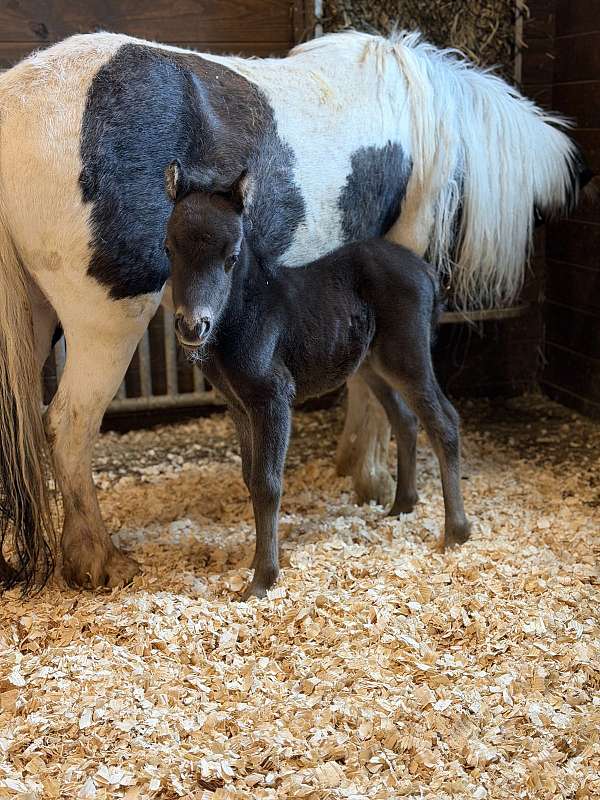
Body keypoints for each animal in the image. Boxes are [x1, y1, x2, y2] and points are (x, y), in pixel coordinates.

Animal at [165, 163, 470, 598]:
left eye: (231, 257)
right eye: (169, 250)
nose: (193, 325)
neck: (245, 314)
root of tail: (426, 269)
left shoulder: (273, 396)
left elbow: (267, 482)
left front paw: (263, 579)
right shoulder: (238, 405)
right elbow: (248, 477)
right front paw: (256, 562)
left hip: (407, 355)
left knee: (443, 420)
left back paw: (456, 531)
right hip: (370, 365)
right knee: (406, 420)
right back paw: (402, 505)